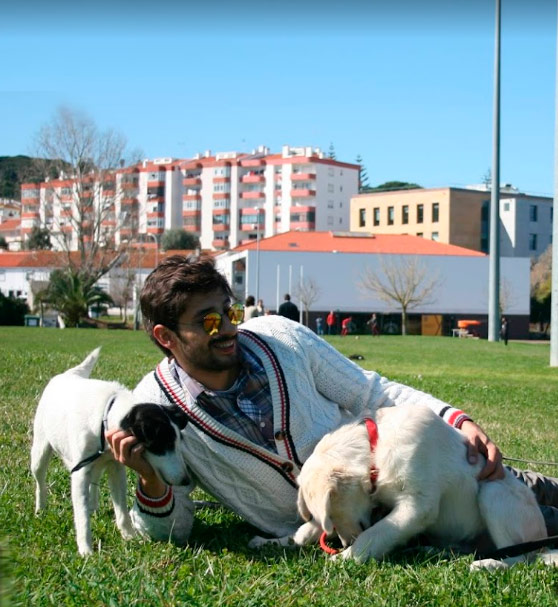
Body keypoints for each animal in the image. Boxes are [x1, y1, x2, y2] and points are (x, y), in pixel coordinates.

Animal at [31, 350, 192, 560]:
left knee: (95, 480)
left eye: (178, 442)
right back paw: (40, 509)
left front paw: (129, 536)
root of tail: (66, 375)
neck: (104, 418)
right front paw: (86, 549)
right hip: (40, 452)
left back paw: (93, 506)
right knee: (40, 482)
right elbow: (82, 517)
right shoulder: (79, 472)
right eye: (162, 444)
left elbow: (121, 509)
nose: (185, 480)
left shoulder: (116, 467)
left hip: (98, 463)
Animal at [256, 404, 556, 568]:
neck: (375, 450)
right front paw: (273, 542)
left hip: (492, 492)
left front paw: (345, 557)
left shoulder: (417, 506)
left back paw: (489, 564)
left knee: (519, 559)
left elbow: (375, 534)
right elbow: (303, 531)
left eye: (332, 515)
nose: (342, 543)